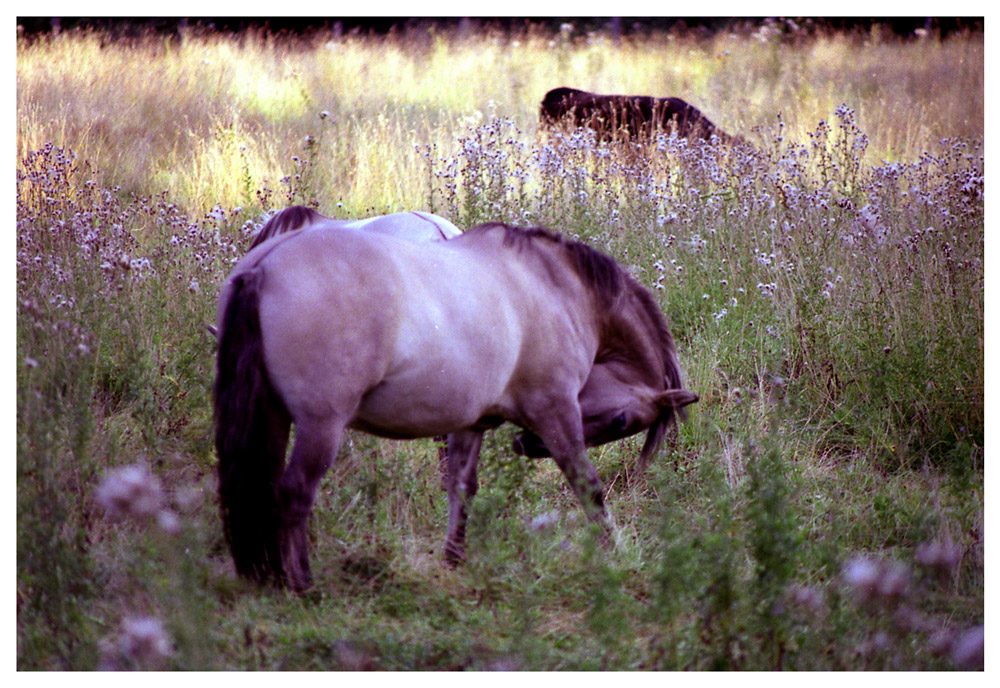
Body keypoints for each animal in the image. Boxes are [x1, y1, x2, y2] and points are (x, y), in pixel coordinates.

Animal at [213, 218, 696, 588]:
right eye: (621, 421)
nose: (527, 446)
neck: (556, 286)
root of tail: (267, 267)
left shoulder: (470, 424)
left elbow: (461, 488)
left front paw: (454, 560)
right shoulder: (556, 411)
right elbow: (588, 487)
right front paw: (618, 554)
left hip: (274, 418)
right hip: (320, 426)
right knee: (294, 491)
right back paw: (302, 585)